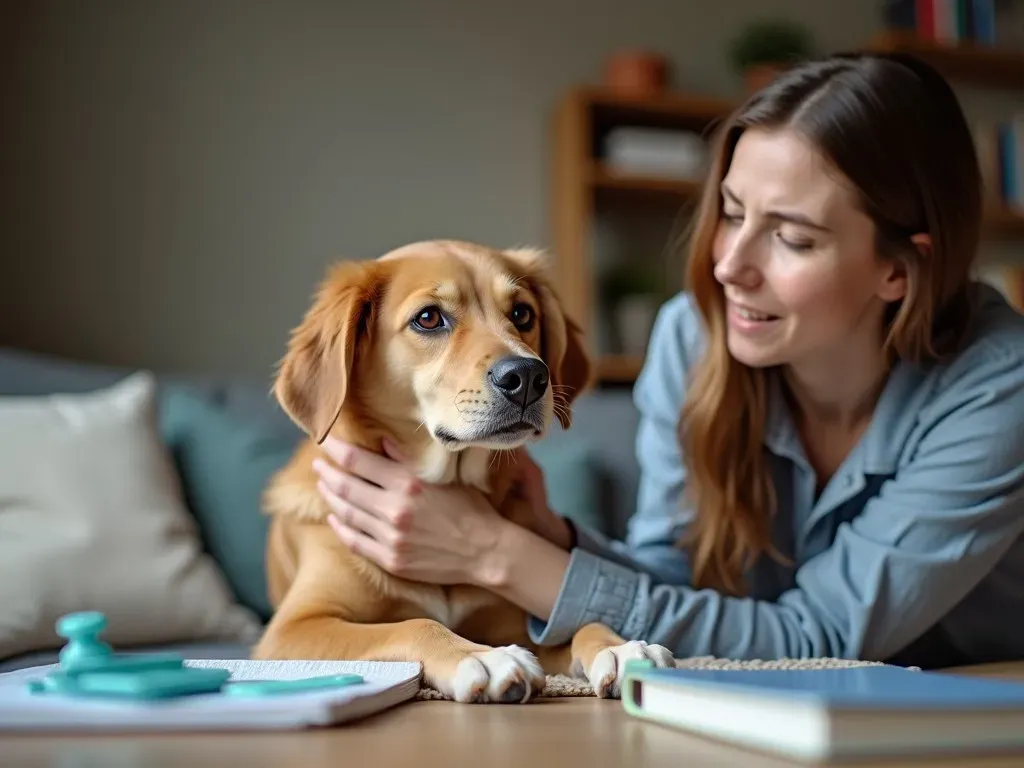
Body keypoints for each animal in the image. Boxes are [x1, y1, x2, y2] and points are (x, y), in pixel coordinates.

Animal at [251, 240, 675, 704]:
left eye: (522, 313)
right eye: (428, 318)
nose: (528, 375)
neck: (449, 475)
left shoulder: (513, 622)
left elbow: (583, 623)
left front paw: (620, 647)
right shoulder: (294, 627)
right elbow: (415, 624)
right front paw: (480, 657)